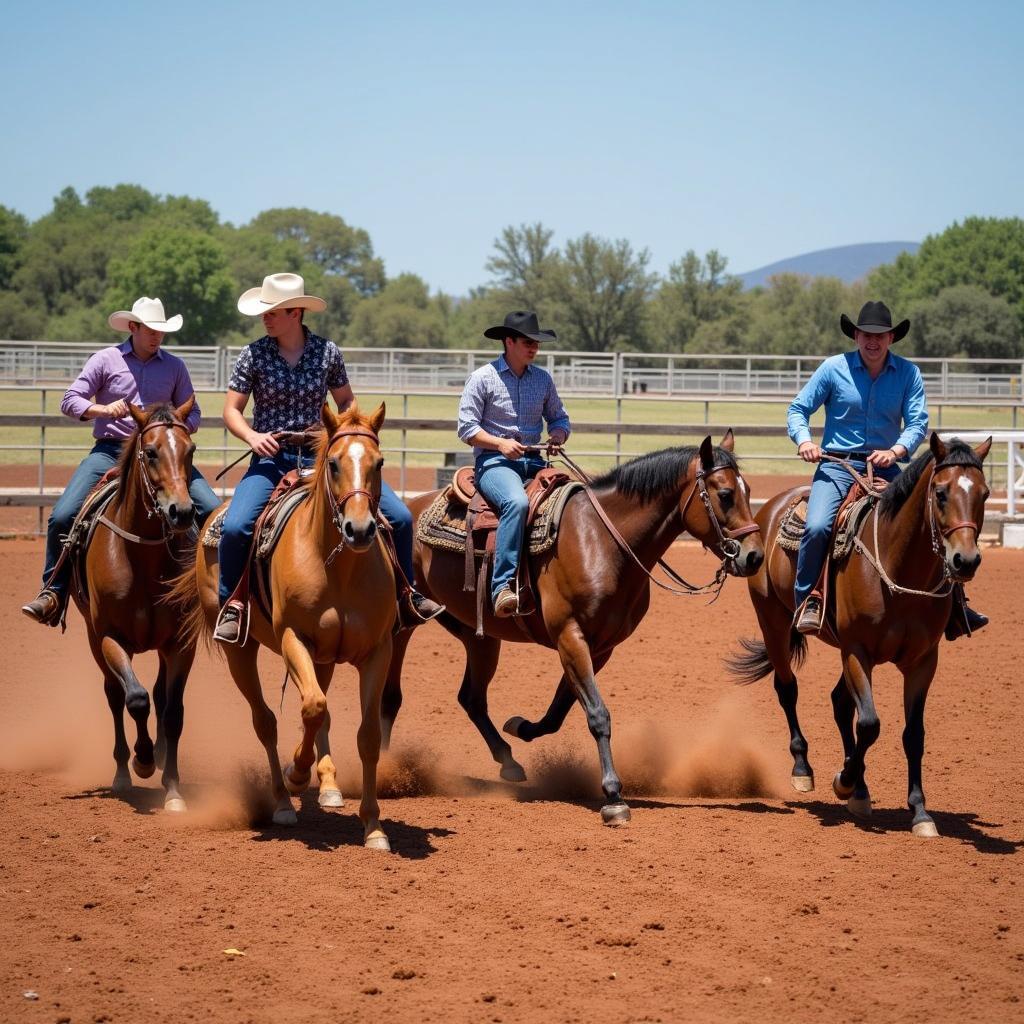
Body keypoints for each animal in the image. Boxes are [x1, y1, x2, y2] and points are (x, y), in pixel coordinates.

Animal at [72, 395, 201, 811]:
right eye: (151, 451)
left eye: (191, 450)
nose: (181, 512)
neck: (141, 557)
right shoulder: (110, 637)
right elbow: (136, 699)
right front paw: (141, 760)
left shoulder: (180, 643)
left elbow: (172, 710)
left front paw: (172, 788)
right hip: (92, 637)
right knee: (115, 695)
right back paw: (123, 772)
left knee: (160, 696)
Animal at [172, 403, 395, 851]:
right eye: (334, 463)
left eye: (379, 463)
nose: (360, 530)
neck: (338, 567)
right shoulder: (295, 639)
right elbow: (311, 708)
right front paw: (297, 774)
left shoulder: (378, 652)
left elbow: (366, 736)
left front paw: (373, 826)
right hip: (240, 651)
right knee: (266, 721)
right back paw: (282, 801)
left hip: (325, 658)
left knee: (319, 713)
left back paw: (328, 787)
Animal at [380, 432, 765, 823]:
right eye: (725, 494)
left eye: (748, 490)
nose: (754, 556)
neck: (602, 541)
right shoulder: (570, 635)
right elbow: (597, 713)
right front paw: (613, 795)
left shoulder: (600, 646)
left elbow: (558, 712)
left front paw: (521, 726)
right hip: (402, 625)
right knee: (390, 697)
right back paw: (382, 768)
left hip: (481, 637)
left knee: (471, 698)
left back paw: (508, 761)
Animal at [729, 434, 991, 839]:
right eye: (941, 493)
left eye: (985, 493)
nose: (966, 561)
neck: (899, 570)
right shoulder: (856, 651)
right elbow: (869, 724)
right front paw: (844, 782)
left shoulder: (923, 660)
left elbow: (912, 734)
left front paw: (919, 812)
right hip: (772, 621)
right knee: (788, 689)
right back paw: (804, 770)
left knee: (840, 702)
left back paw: (861, 791)